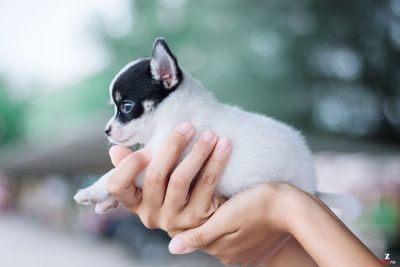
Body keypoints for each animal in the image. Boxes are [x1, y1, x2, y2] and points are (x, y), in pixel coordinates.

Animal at [74, 37, 360, 222]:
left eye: (126, 106)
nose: (106, 131)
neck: (174, 113)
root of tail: (313, 187)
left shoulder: (160, 162)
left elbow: (119, 171)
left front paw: (92, 191)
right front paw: (107, 201)